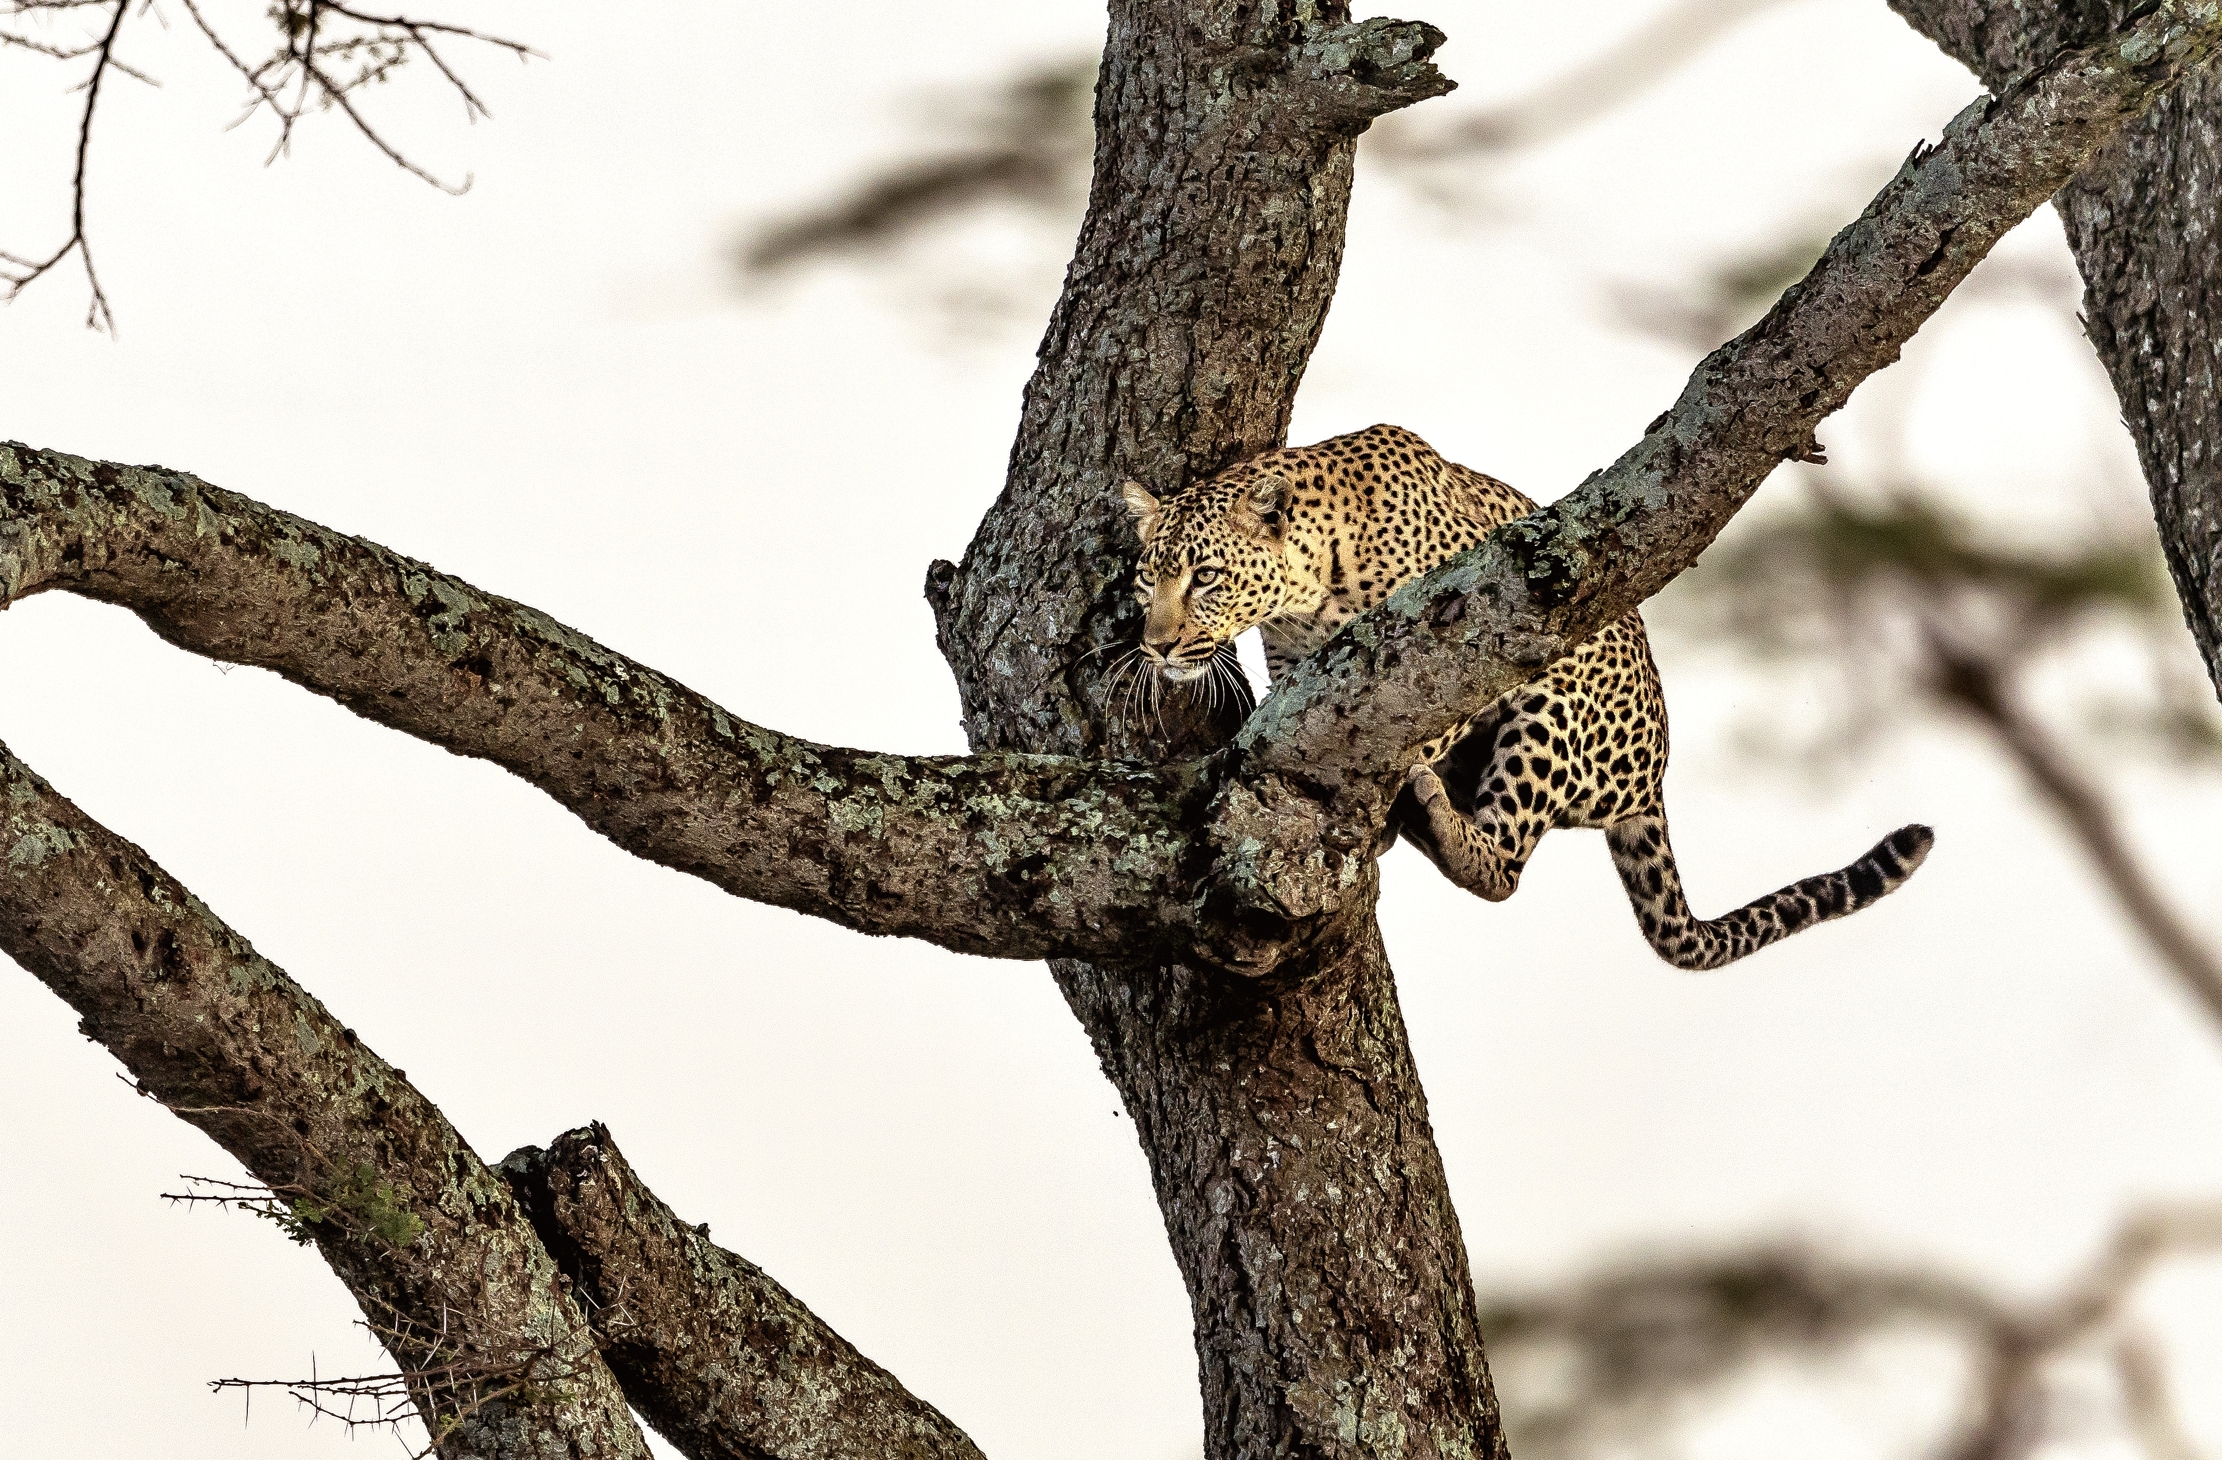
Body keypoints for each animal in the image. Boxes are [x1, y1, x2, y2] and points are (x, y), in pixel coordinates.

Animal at [1120, 422, 1934, 971]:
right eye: (1145, 581)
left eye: (1206, 577)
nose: (1155, 645)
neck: (1314, 582)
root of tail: (1654, 780)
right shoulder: (1300, 670)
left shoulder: (1467, 645)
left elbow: (1418, 726)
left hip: (1554, 704)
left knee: (1506, 866)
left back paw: (1429, 812)